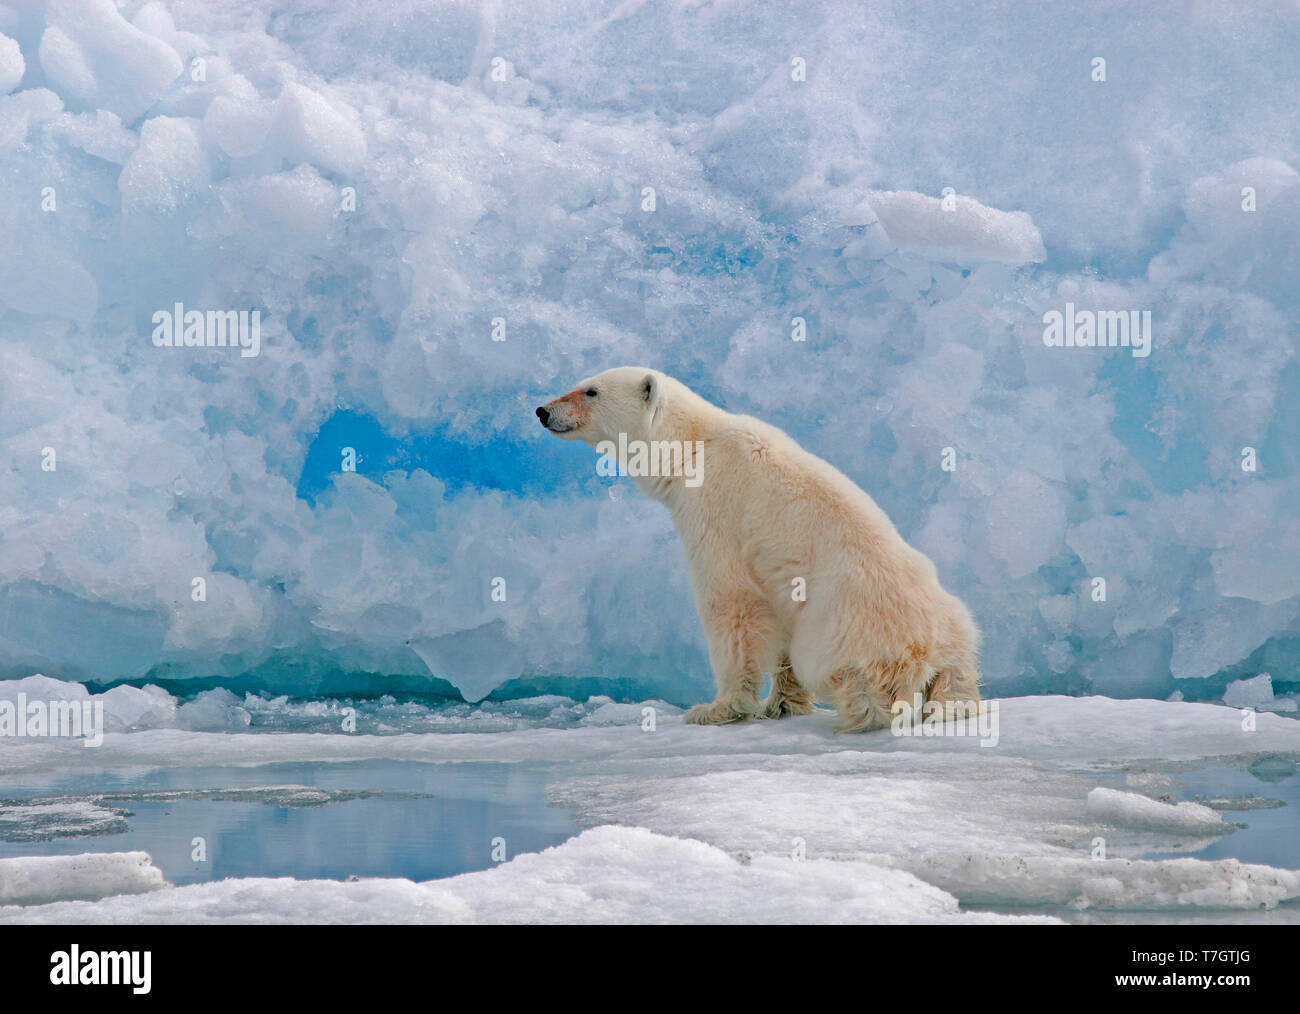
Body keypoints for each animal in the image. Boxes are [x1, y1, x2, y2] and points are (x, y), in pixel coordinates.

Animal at [537, 367, 981, 732]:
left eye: (590, 391)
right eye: (580, 383)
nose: (542, 410)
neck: (693, 446)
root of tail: (919, 650)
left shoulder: (715, 510)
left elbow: (732, 604)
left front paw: (715, 709)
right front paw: (781, 704)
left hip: (847, 625)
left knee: (836, 665)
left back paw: (865, 708)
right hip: (946, 610)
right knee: (959, 654)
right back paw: (954, 702)